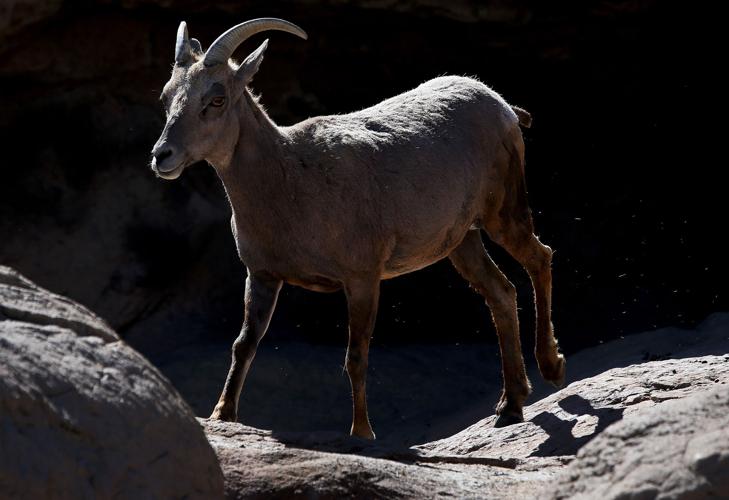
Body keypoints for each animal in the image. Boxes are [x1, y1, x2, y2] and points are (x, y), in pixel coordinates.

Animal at [151, 18, 565, 439]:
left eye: (216, 100)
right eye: (166, 97)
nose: (162, 156)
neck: (291, 182)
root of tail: (504, 108)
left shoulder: (362, 278)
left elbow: (356, 357)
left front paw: (362, 432)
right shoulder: (263, 276)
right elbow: (244, 344)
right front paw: (222, 414)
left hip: (502, 213)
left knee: (539, 257)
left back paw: (551, 367)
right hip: (462, 242)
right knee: (501, 292)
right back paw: (510, 405)